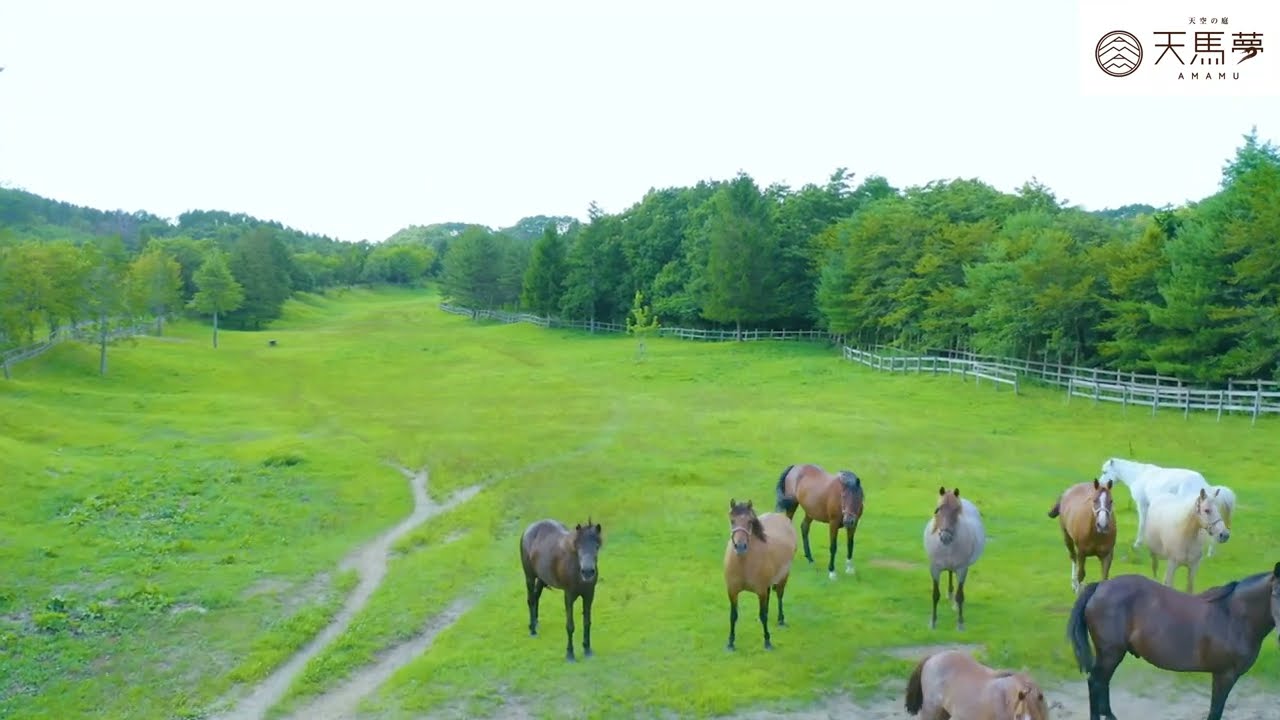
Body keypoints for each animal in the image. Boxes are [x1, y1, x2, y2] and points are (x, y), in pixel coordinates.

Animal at [519, 517, 603, 661]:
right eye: (578, 546)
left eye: (597, 546)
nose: (587, 572)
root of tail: (528, 529)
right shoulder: (568, 595)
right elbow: (570, 626)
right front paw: (570, 654)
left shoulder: (589, 594)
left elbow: (587, 622)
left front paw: (587, 649)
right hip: (529, 576)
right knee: (531, 600)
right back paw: (532, 630)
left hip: (542, 578)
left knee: (536, 597)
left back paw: (535, 623)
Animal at [724, 498, 797, 651]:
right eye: (732, 520)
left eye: (750, 521)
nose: (740, 547)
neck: (744, 564)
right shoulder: (732, 591)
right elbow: (733, 616)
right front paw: (730, 642)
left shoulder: (761, 591)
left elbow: (763, 615)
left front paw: (767, 641)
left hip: (783, 577)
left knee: (779, 595)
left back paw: (781, 620)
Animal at [923, 486, 986, 630]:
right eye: (938, 509)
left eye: (956, 510)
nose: (945, 537)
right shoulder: (934, 569)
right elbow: (935, 595)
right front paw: (933, 622)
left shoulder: (962, 569)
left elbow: (960, 596)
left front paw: (960, 623)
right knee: (950, 573)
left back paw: (955, 604)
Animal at [1067, 565, 1280, 720]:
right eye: (1275, 593)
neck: (1232, 616)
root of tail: (1100, 587)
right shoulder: (1224, 675)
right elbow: (1215, 712)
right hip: (1110, 653)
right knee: (1096, 682)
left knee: (1103, 682)